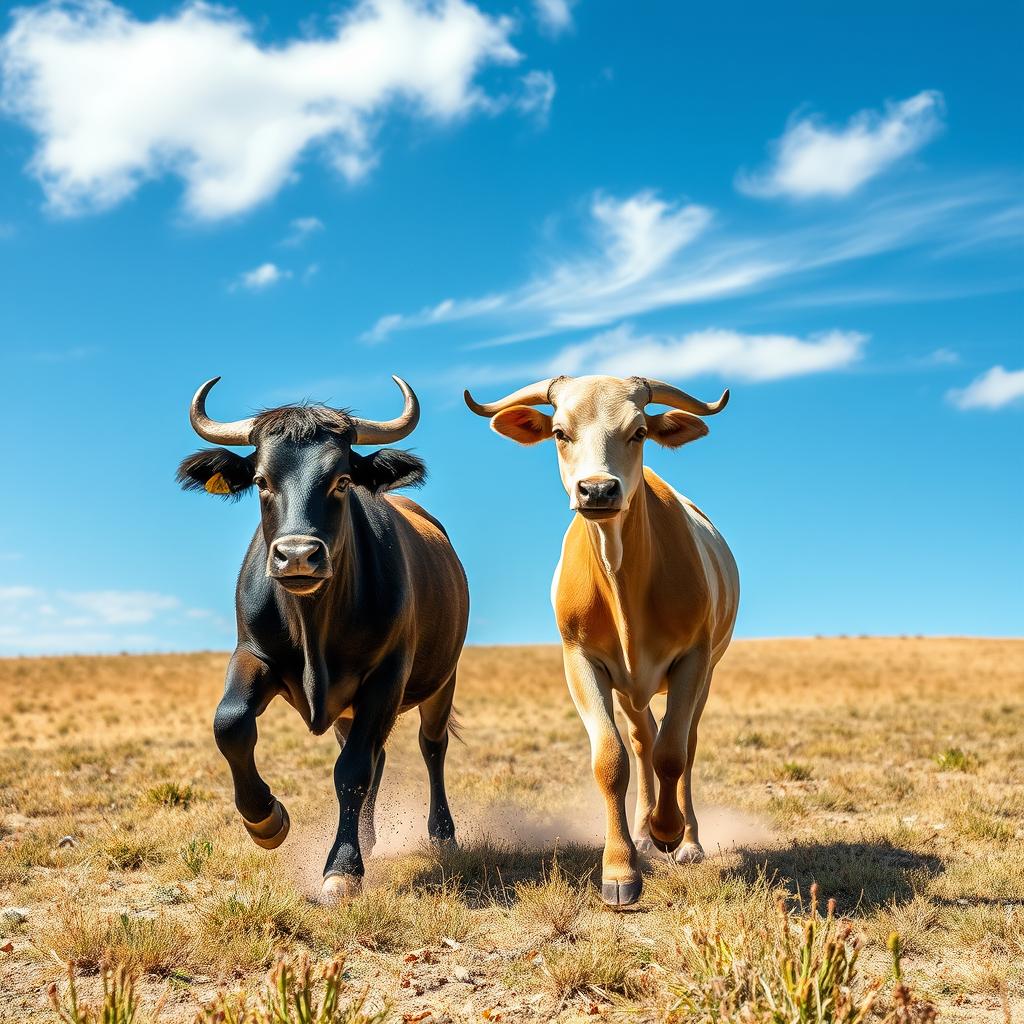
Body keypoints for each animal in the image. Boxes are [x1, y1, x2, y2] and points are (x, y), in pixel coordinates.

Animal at [177, 376, 469, 903]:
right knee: (377, 754)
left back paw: (442, 836)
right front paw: (265, 820)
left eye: (341, 481)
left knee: (430, 748)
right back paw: (369, 838)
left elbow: (351, 772)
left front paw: (342, 869)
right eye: (261, 481)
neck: (315, 624)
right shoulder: (253, 656)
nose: (297, 556)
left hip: (442, 681)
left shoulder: (386, 676)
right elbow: (230, 723)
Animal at [465, 375, 738, 907]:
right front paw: (620, 867)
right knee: (641, 739)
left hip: (707, 671)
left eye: (639, 432)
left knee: (683, 742)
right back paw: (643, 829)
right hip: (632, 688)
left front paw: (670, 831)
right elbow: (612, 759)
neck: (621, 579)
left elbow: (673, 752)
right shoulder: (581, 661)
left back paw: (685, 839)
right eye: (559, 432)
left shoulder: (693, 659)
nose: (597, 489)